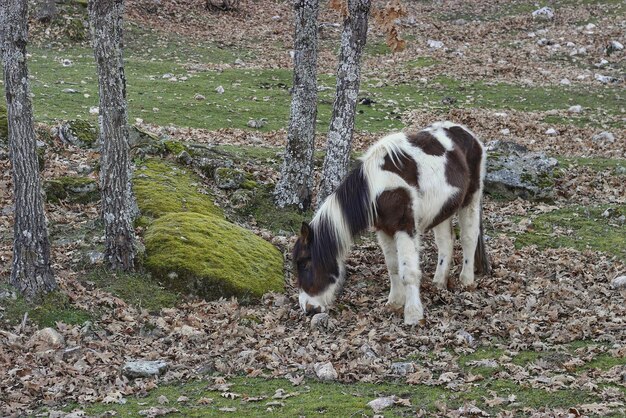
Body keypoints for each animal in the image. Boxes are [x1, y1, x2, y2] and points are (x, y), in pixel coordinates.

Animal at [290, 122, 490, 324]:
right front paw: (394, 302)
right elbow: (393, 266)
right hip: (444, 208)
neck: (376, 187)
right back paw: (439, 282)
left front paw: (413, 314)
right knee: (446, 243)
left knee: (468, 238)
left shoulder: (404, 227)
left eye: (305, 263)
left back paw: (466, 280)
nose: (308, 309)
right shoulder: (384, 229)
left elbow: (408, 272)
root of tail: (468, 134)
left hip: (471, 199)